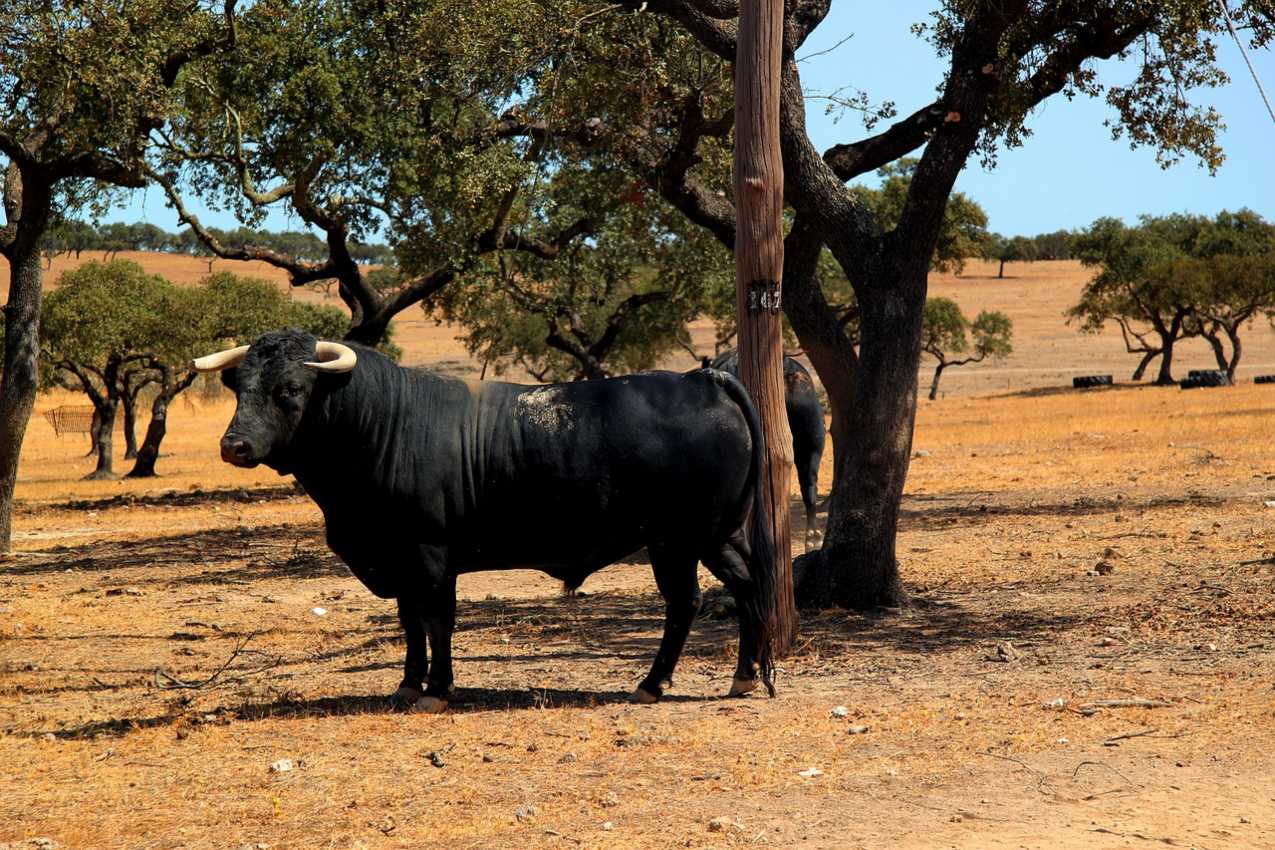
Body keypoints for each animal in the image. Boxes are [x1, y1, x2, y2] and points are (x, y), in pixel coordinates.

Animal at [196, 328, 775, 708]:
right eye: (238, 386)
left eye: (290, 389)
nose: (233, 445)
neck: (384, 423)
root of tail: (701, 378)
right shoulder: (400, 558)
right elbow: (410, 621)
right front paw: (409, 683)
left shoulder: (429, 553)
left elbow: (437, 620)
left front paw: (437, 689)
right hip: (716, 535)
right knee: (746, 587)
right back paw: (745, 677)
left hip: (676, 540)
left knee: (686, 602)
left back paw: (652, 684)